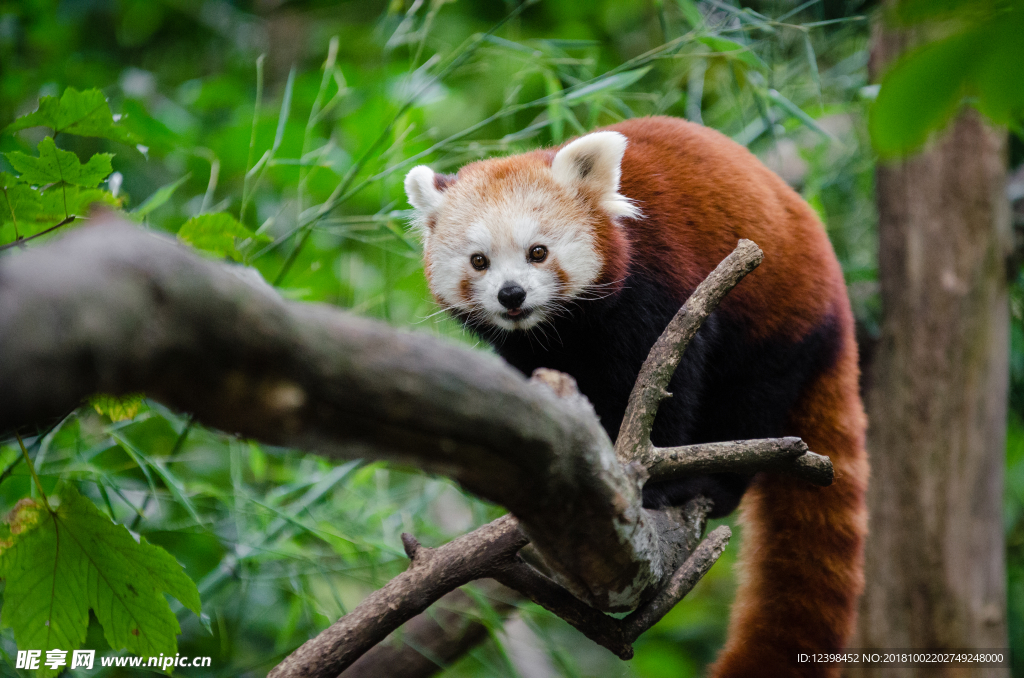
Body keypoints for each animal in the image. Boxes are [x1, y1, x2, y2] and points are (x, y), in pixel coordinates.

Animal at [403, 116, 868, 678]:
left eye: (538, 252)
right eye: (479, 261)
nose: (511, 295)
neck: (567, 329)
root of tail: (837, 301)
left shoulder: (660, 286)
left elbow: (666, 388)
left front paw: (652, 486)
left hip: (777, 320)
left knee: (752, 401)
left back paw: (715, 482)